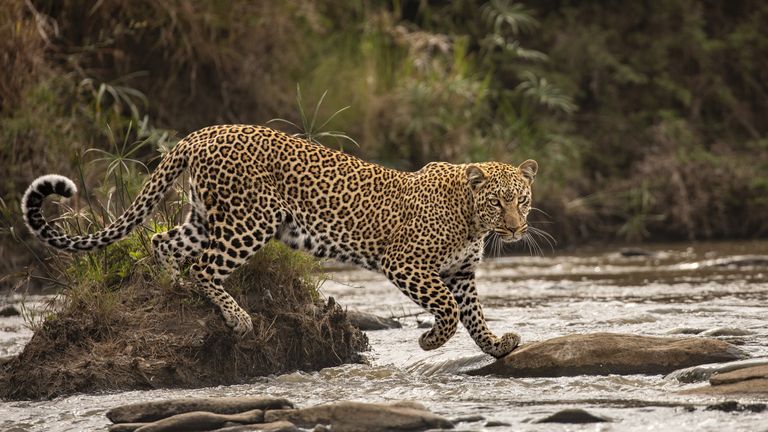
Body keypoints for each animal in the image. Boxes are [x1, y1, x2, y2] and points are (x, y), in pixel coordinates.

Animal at [21, 124, 536, 358]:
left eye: (523, 200)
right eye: (498, 202)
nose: (515, 229)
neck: (471, 219)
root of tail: (202, 133)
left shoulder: (461, 272)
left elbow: (473, 313)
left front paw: (497, 345)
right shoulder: (405, 263)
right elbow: (448, 309)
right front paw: (430, 340)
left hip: (206, 217)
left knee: (164, 243)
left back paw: (169, 292)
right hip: (249, 221)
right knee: (203, 267)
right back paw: (237, 319)